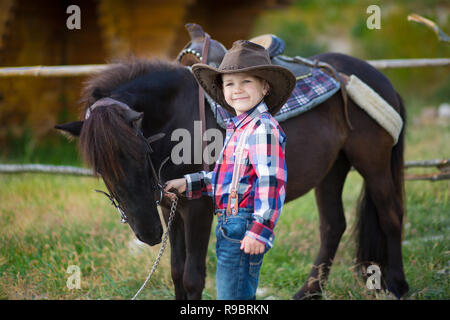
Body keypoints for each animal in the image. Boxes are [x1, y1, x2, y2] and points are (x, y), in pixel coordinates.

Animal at [55, 53, 408, 300]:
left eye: (140, 152)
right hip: (332, 169)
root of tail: (379, 77)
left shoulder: (197, 209)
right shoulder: (169, 207)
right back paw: (309, 292)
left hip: (373, 163)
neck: (177, 117)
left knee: (390, 216)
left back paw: (398, 285)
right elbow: (175, 272)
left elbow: (192, 276)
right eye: (101, 169)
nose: (149, 233)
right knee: (333, 225)